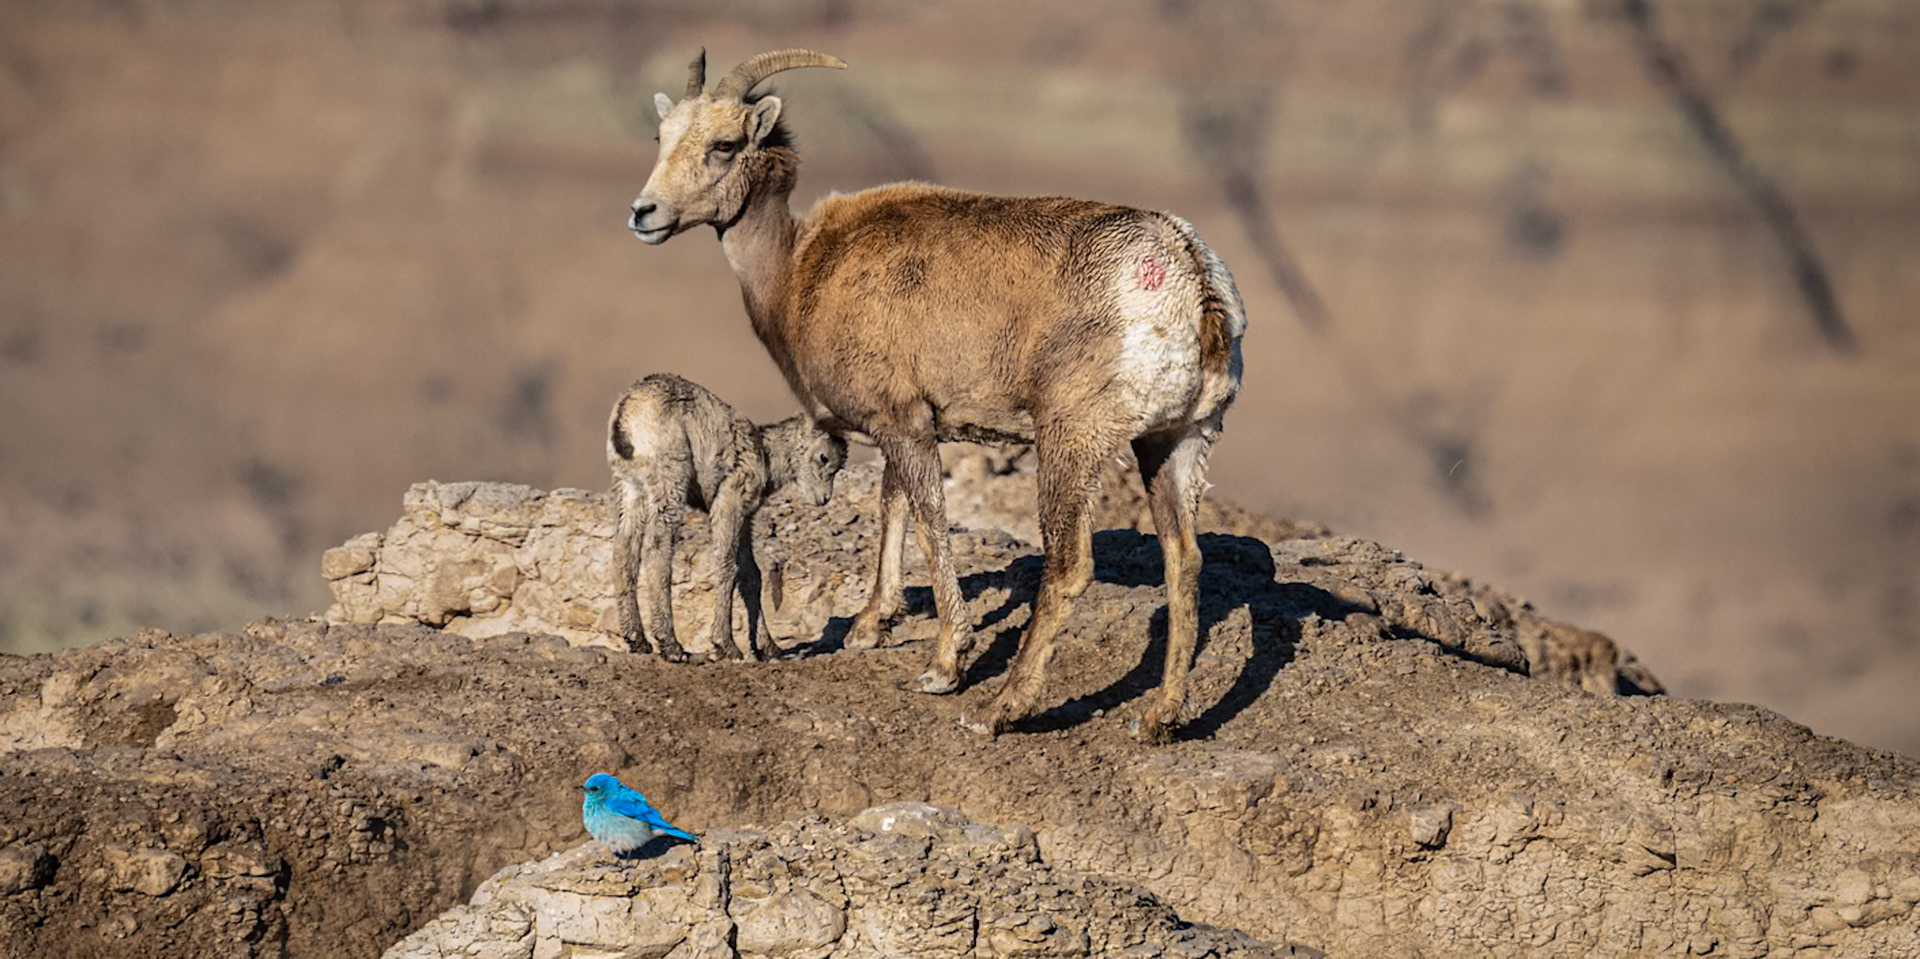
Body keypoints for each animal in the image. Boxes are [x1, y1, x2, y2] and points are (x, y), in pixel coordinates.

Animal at [608, 372, 846, 662]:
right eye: (824, 457)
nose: (824, 498)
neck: (764, 455)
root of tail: (626, 413)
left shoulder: (745, 519)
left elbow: (751, 574)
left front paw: (770, 648)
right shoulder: (728, 502)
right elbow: (727, 566)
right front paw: (726, 646)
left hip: (631, 487)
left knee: (624, 551)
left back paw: (637, 641)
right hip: (670, 480)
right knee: (658, 551)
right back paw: (671, 646)